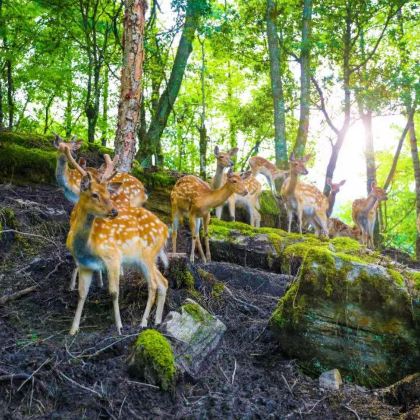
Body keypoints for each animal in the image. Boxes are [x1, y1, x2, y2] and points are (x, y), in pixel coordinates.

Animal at [65, 154, 169, 334]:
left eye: (108, 193)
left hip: (147, 255)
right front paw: (73, 329)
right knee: (163, 282)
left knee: (154, 285)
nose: (114, 211)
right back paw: (157, 321)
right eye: (94, 194)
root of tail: (165, 229)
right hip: (145, 259)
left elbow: (114, 292)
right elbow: (82, 294)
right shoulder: (85, 264)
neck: (86, 246)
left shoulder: (112, 256)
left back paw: (143, 322)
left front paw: (119, 327)